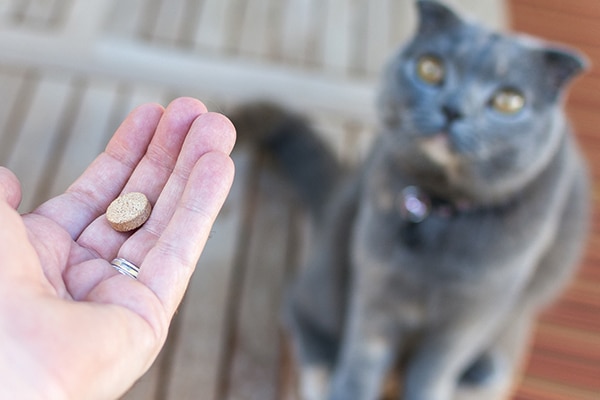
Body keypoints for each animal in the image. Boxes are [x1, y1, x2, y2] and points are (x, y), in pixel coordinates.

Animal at [231, 1, 592, 398]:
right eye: (430, 68)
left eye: (509, 101)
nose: (453, 109)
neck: (441, 207)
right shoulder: (375, 284)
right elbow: (363, 357)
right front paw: (347, 390)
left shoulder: (471, 314)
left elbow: (433, 371)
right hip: (333, 260)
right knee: (301, 307)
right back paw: (321, 372)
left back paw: (481, 369)